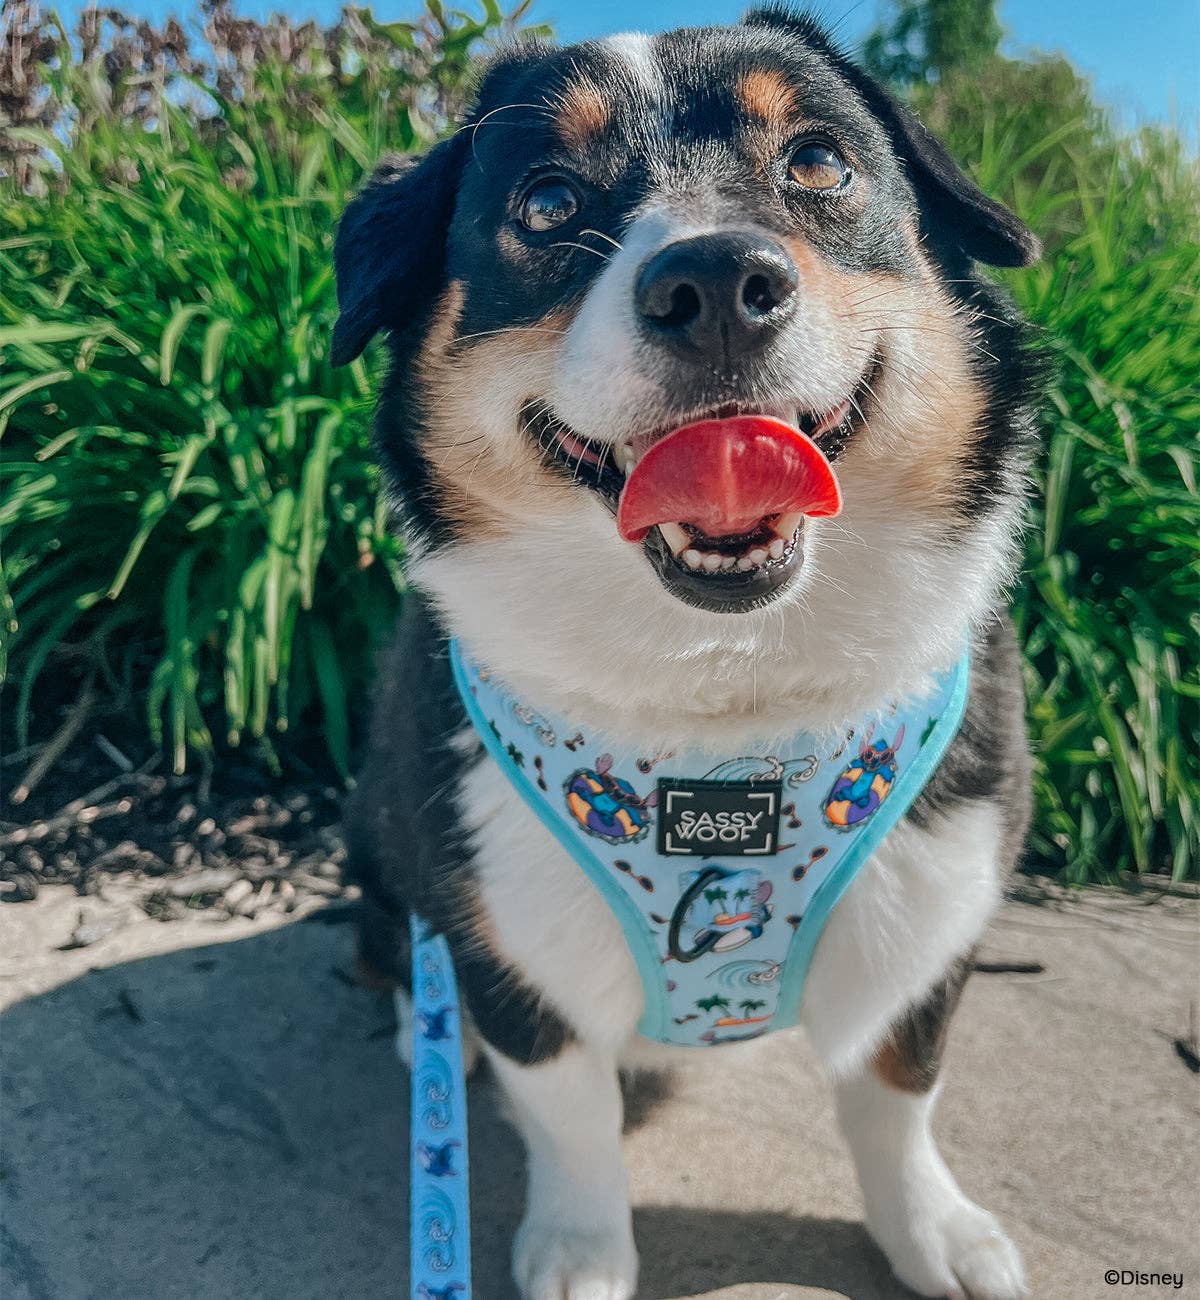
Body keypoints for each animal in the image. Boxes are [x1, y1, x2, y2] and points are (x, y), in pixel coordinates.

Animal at [335, 12, 1040, 1300]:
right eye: (547, 201)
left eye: (819, 161)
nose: (715, 284)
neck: (723, 700)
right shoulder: (512, 932)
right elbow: (570, 1116)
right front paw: (579, 1249)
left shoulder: (936, 900)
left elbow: (899, 1086)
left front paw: (937, 1230)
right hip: (380, 833)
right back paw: (427, 1026)